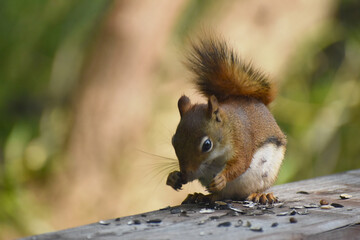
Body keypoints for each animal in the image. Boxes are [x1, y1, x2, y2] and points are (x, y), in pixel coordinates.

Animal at [166, 35, 286, 204]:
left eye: (207, 145)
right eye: (173, 141)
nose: (185, 174)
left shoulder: (242, 141)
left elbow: (241, 164)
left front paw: (221, 179)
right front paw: (173, 177)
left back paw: (261, 195)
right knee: (218, 196)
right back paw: (200, 196)